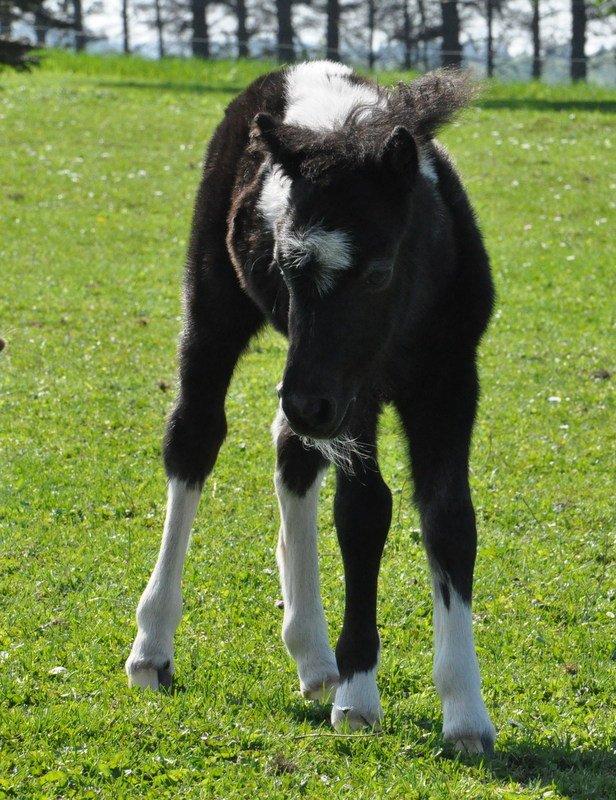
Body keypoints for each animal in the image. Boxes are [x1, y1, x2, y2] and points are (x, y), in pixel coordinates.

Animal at [125, 61, 496, 752]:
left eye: (378, 271)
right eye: (283, 265)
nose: (307, 403)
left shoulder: (450, 378)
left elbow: (450, 517)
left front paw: (465, 712)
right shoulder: (355, 393)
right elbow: (364, 511)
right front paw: (360, 694)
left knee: (290, 452)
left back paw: (313, 656)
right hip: (220, 308)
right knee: (195, 436)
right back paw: (153, 647)